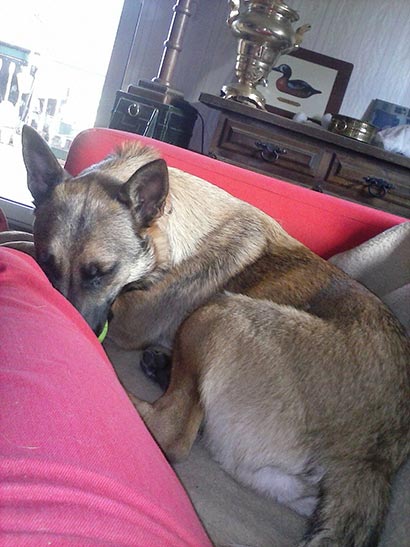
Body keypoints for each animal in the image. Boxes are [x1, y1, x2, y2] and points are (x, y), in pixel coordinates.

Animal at [21, 125, 410, 546]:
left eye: (101, 273)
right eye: (47, 263)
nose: (73, 331)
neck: (168, 234)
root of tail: (373, 457)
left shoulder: (129, 321)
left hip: (217, 314)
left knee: (172, 431)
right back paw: (162, 366)